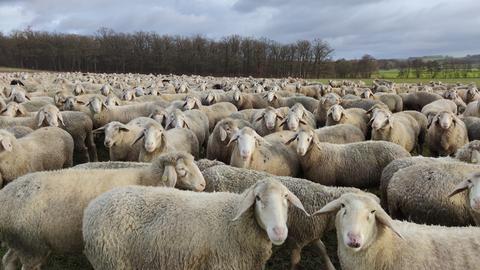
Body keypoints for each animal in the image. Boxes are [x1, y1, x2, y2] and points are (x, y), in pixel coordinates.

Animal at [0, 152, 204, 270]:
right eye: (181, 169)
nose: (203, 185)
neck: (144, 178)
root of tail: (5, 194)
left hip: (21, 242)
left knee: (8, 260)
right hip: (31, 245)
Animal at [81, 179, 308, 270]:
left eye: (286, 198)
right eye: (258, 198)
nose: (279, 231)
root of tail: (91, 207)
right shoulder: (223, 264)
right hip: (112, 261)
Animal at [200, 163, 364, 268]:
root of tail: (207, 172)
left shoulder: (311, 234)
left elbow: (323, 249)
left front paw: (331, 266)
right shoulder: (299, 238)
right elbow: (295, 261)